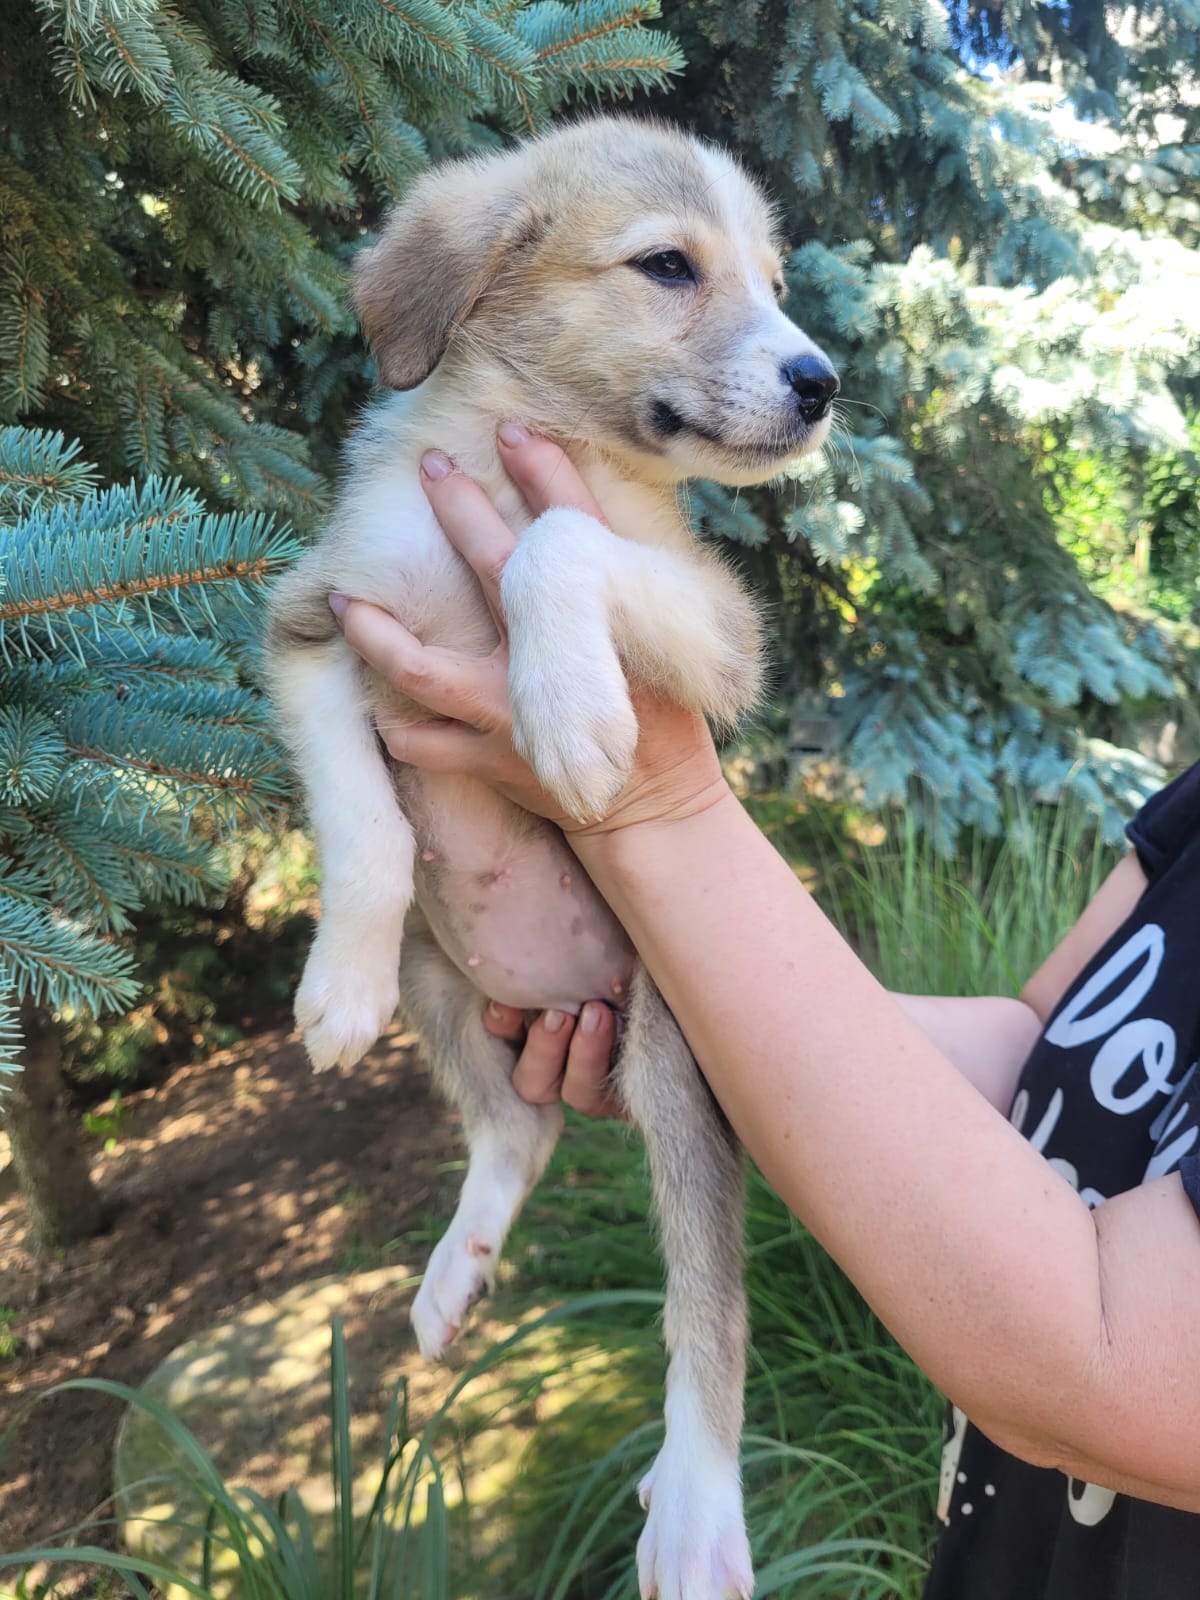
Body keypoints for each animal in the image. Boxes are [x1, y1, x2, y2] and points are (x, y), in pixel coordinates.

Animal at [266, 116, 838, 1600]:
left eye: (773, 279)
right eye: (669, 267)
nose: (824, 382)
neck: (502, 443)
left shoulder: (720, 633)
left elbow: (561, 538)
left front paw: (569, 712)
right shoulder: (314, 627)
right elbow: (361, 828)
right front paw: (332, 988)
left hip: (681, 1063)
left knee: (709, 1313)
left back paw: (696, 1506)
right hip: (448, 979)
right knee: (514, 1131)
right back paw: (455, 1268)